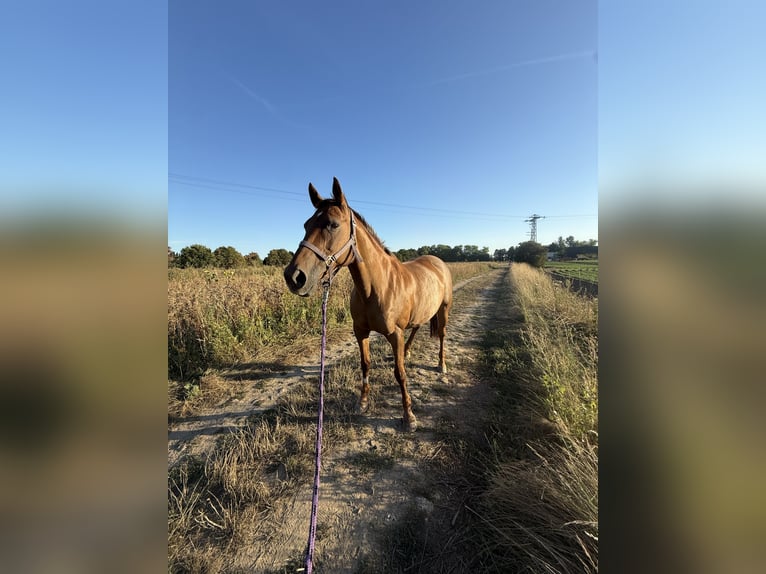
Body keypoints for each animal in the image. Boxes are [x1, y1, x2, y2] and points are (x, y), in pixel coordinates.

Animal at [284, 177, 452, 431]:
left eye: (333, 224)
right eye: (306, 225)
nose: (294, 277)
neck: (377, 287)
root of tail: (438, 262)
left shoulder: (395, 334)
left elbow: (400, 373)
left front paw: (409, 416)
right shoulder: (360, 331)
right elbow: (365, 364)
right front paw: (362, 403)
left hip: (443, 310)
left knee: (441, 335)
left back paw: (441, 365)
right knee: (417, 326)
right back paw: (409, 351)